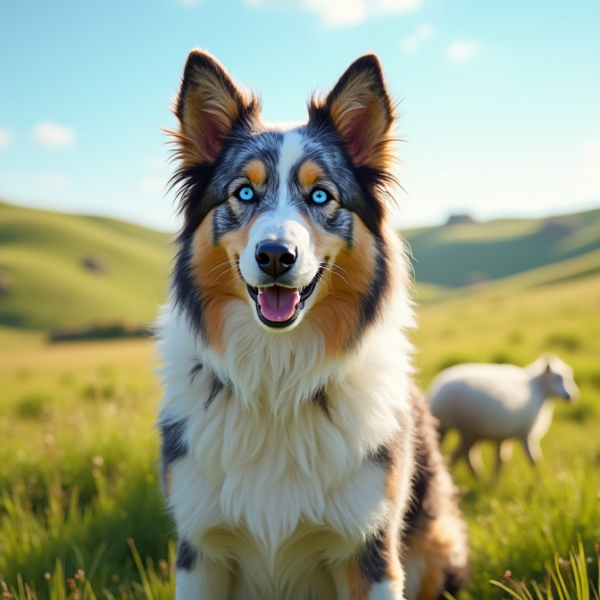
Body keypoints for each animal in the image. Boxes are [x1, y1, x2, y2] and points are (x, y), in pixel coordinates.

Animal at [156, 49, 468, 596]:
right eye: (244, 193)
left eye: (321, 196)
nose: (276, 255)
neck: (277, 381)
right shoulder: (201, 549)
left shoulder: (370, 548)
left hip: (438, 541)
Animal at [428, 354, 580, 480]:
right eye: (557, 378)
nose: (571, 397)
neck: (538, 390)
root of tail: (436, 391)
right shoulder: (525, 433)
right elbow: (533, 459)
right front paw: (540, 481)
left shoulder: (504, 437)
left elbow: (501, 459)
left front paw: (495, 481)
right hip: (464, 428)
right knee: (458, 454)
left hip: (469, 431)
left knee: (465, 454)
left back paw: (477, 477)